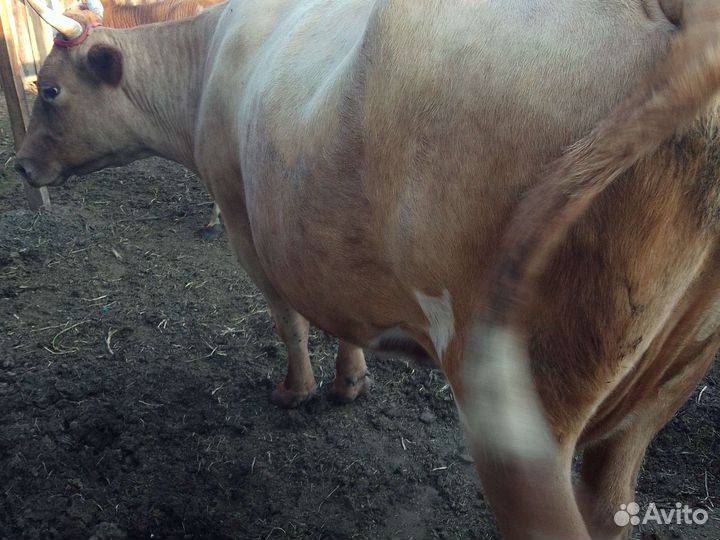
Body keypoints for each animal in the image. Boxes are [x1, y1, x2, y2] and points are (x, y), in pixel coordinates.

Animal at [13, 0, 720, 537]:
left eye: (49, 90)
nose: (19, 165)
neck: (210, 59)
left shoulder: (245, 222)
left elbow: (290, 318)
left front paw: (296, 391)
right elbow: (338, 313)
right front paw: (350, 381)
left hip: (520, 422)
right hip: (659, 392)